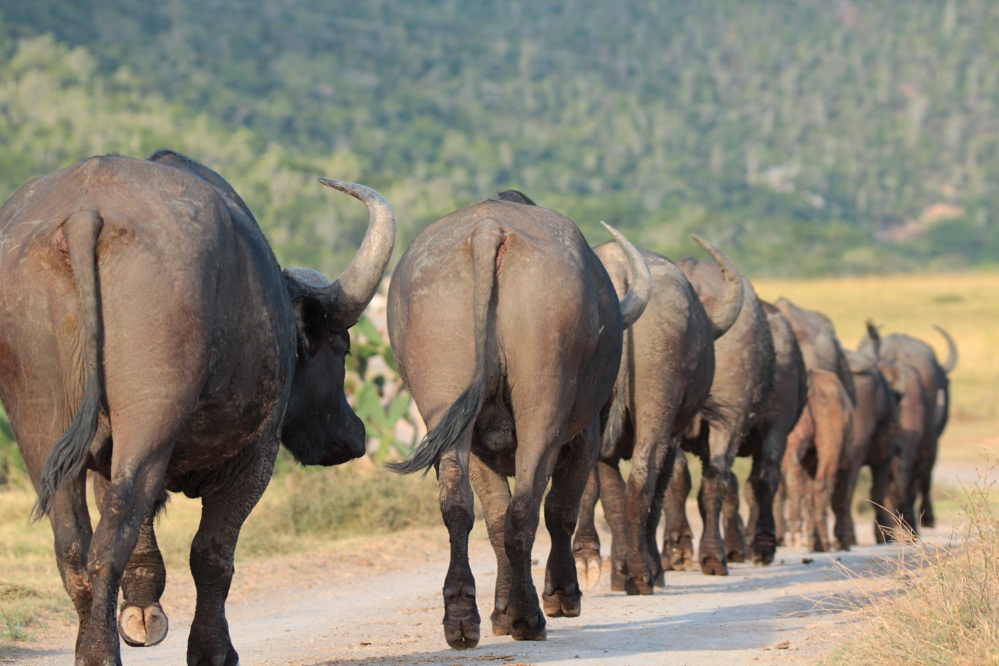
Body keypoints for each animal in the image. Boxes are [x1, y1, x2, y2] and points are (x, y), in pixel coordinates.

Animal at [0, 152, 394, 664]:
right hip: (150, 418)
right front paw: (213, 649)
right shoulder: (254, 458)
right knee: (116, 527)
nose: (355, 436)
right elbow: (212, 553)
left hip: (40, 426)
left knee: (75, 544)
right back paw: (101, 653)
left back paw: (91, 643)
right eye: (342, 346)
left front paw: (142, 613)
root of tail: (86, 211)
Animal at [386, 189, 652, 644]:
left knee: (459, 505)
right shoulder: (586, 438)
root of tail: (487, 230)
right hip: (542, 411)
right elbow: (560, 511)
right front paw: (560, 597)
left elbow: (493, 520)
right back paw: (530, 618)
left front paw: (499, 612)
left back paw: (462, 618)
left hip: (445, 408)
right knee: (527, 508)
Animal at [572, 236, 744, 592]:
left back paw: (605, 563)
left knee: (604, 485)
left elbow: (612, 499)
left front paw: (618, 572)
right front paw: (649, 569)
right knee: (643, 481)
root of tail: (620, 271)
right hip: (658, 409)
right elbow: (658, 494)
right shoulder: (674, 437)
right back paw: (643, 573)